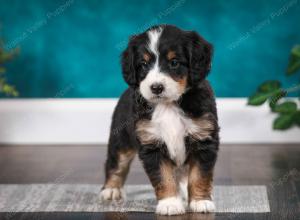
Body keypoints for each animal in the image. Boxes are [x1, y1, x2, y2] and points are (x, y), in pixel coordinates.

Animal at [99, 24, 219, 215]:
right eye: (143, 64)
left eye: (174, 62)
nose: (156, 87)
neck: (168, 105)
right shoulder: (151, 143)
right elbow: (164, 177)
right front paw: (170, 203)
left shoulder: (203, 138)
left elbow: (199, 175)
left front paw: (201, 201)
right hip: (121, 140)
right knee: (115, 164)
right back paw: (111, 189)